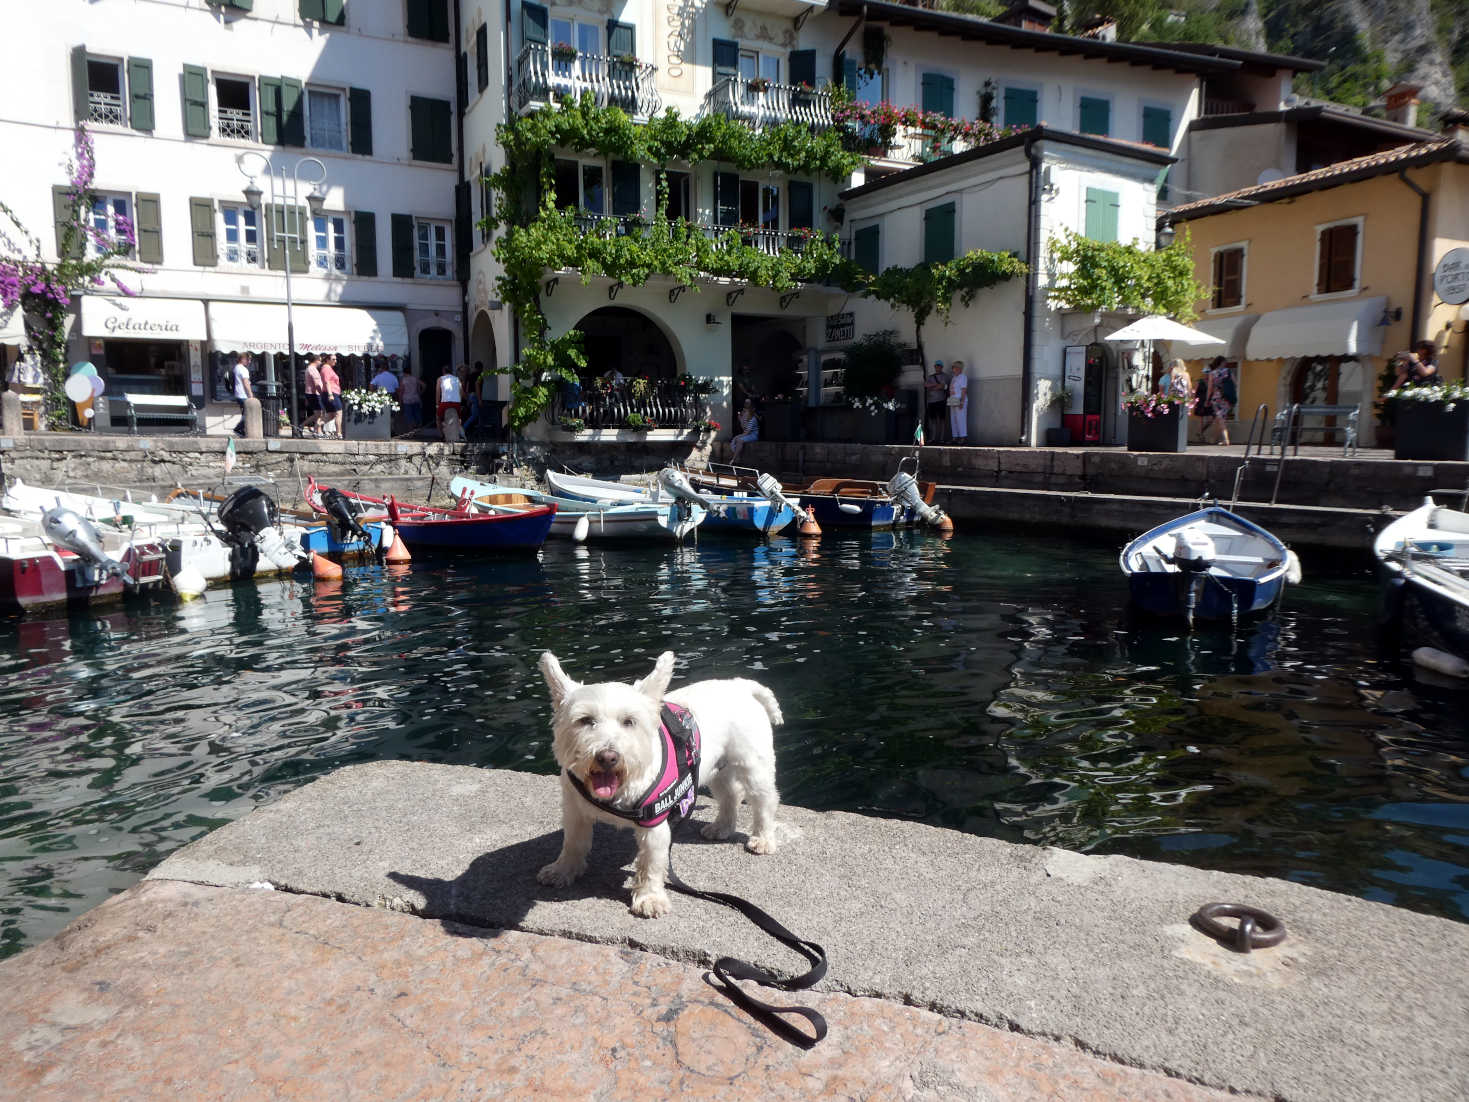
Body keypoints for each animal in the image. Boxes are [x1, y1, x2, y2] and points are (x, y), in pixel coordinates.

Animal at [540, 652, 787, 916]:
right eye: (585, 720)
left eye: (629, 722)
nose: (608, 757)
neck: (621, 788)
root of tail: (740, 685)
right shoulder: (575, 810)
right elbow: (573, 842)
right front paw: (562, 870)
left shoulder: (654, 822)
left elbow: (651, 862)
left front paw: (649, 898)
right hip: (714, 768)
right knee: (730, 794)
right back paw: (721, 827)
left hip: (753, 765)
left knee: (763, 800)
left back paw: (763, 838)